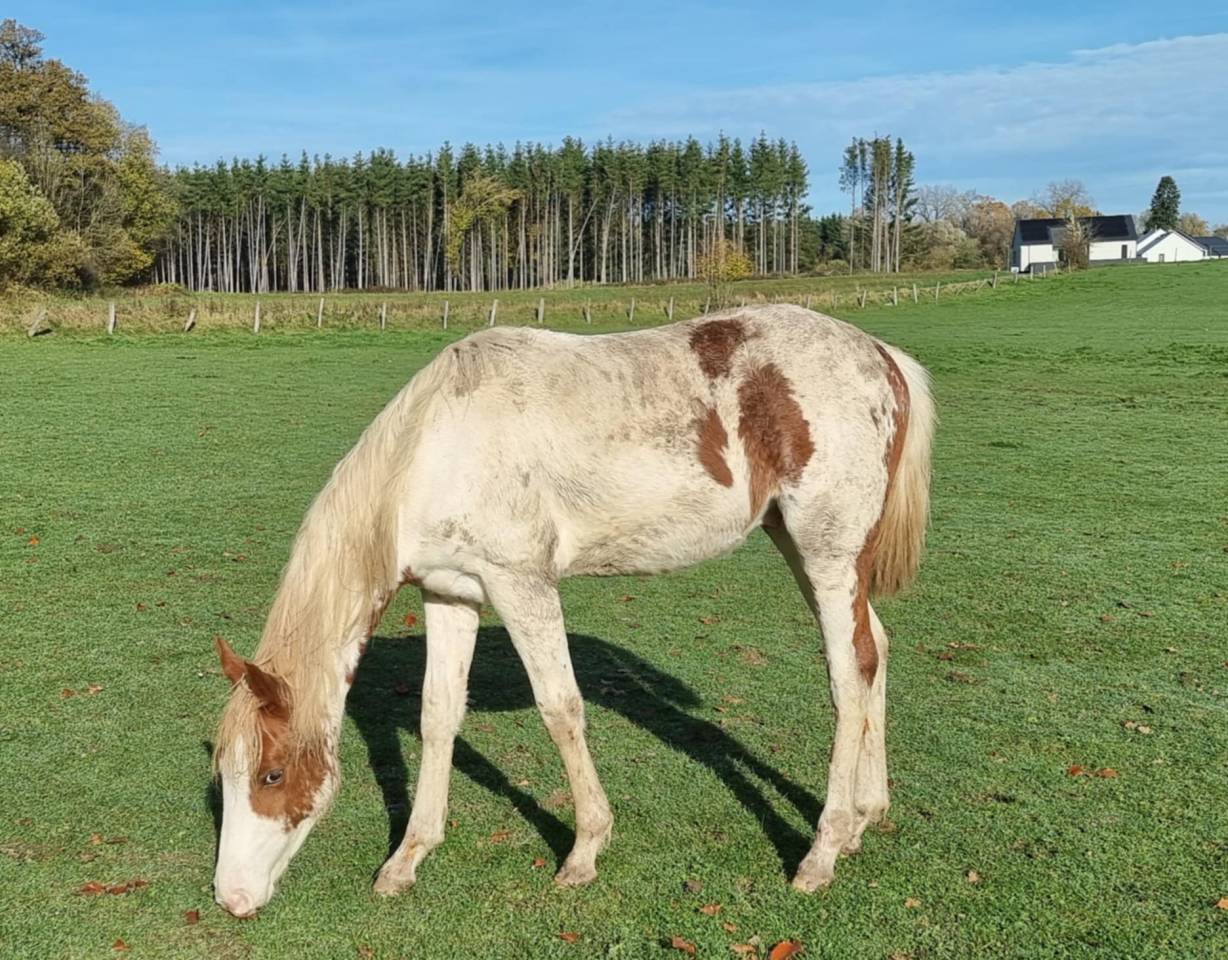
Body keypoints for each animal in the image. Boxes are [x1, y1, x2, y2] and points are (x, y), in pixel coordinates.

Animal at [211, 304, 935, 917]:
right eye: (225, 773)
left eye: (272, 773)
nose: (231, 898)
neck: (436, 446)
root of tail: (881, 354)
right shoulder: (451, 592)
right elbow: (438, 718)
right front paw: (407, 858)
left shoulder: (522, 583)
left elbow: (560, 708)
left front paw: (585, 850)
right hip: (808, 549)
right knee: (875, 650)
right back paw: (867, 815)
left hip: (827, 554)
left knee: (848, 678)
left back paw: (822, 850)